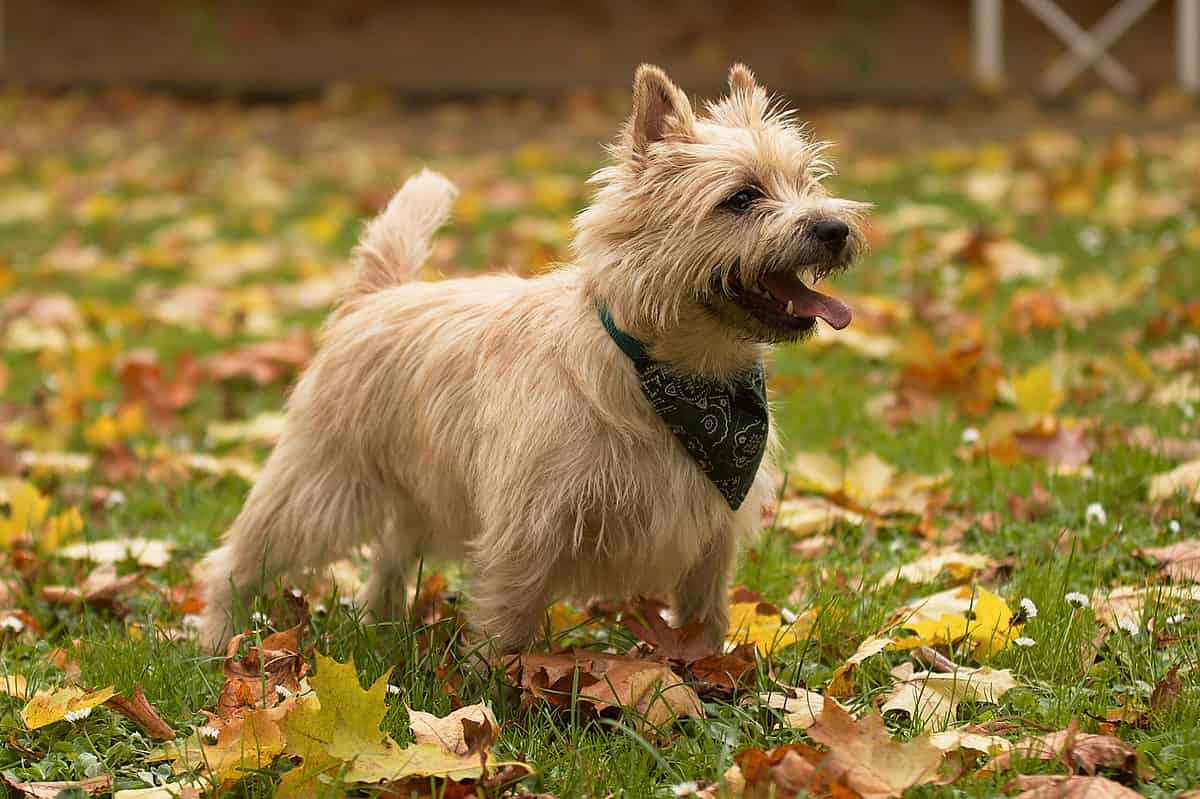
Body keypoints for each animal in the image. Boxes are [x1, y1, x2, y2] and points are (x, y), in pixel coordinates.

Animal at [201, 63, 868, 652]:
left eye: (809, 183)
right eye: (741, 198)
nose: (834, 228)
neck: (677, 376)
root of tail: (376, 296)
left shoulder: (712, 537)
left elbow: (704, 616)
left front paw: (709, 679)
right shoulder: (528, 528)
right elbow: (510, 621)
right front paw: (498, 696)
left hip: (419, 494)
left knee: (389, 556)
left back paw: (385, 627)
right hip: (318, 486)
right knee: (236, 559)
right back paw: (216, 641)